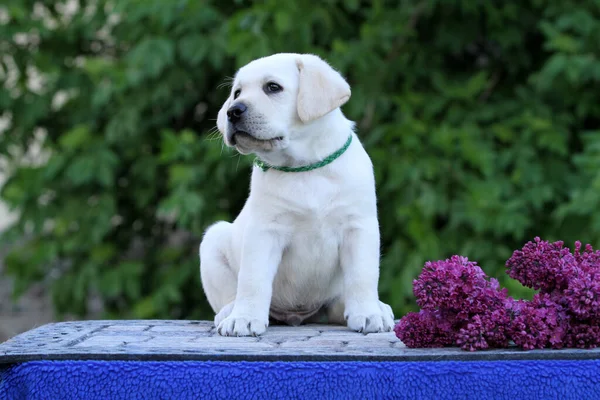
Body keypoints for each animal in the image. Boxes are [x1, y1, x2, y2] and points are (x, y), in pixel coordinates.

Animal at [199, 51, 394, 336]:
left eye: (272, 87)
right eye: (237, 92)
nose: (233, 111)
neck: (304, 167)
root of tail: (296, 315)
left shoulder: (358, 227)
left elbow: (363, 275)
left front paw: (369, 313)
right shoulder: (264, 231)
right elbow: (253, 278)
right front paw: (244, 318)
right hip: (213, 241)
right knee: (229, 294)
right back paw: (230, 311)